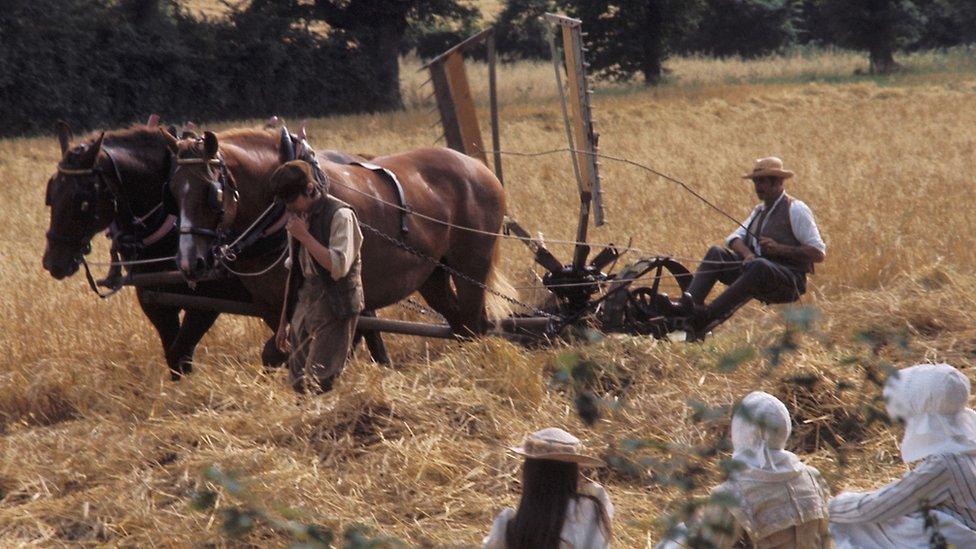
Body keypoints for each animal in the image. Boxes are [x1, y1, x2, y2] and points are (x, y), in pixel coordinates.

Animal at [163, 128, 508, 334]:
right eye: (173, 192)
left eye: (212, 193)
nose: (188, 263)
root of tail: (480, 168)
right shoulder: (272, 308)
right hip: (433, 273)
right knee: (459, 323)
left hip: (471, 267)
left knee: (475, 322)